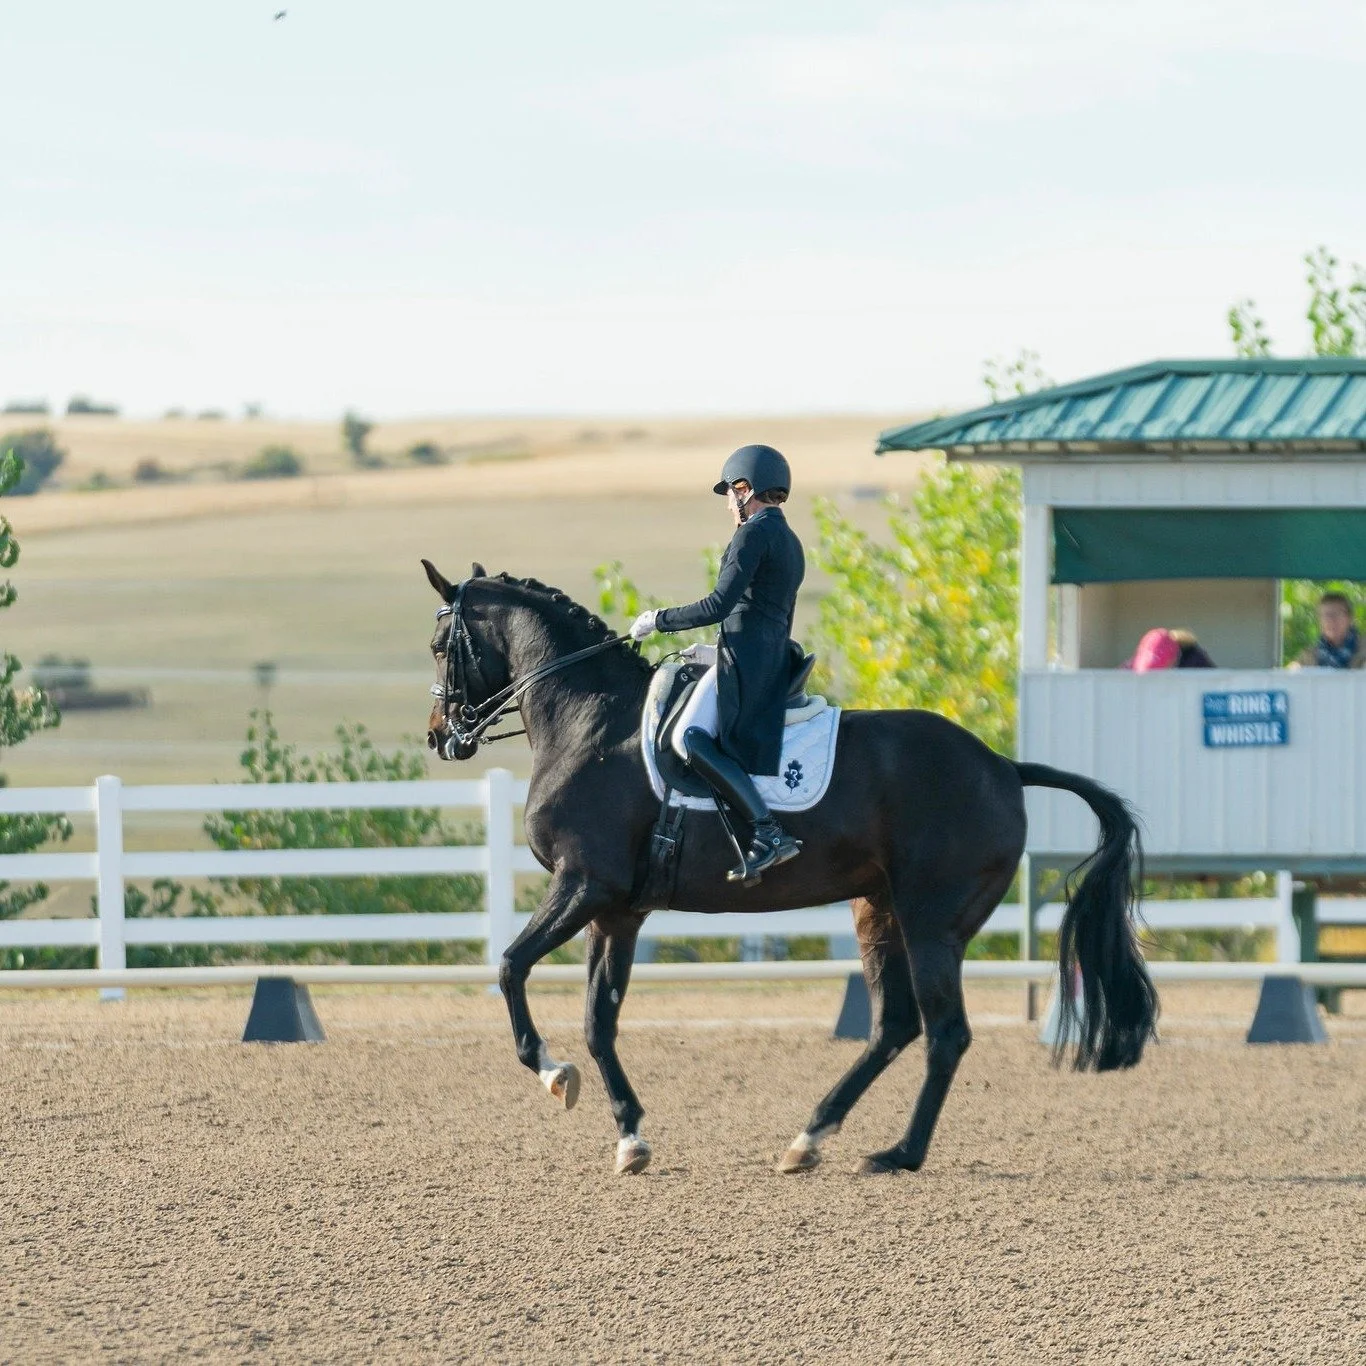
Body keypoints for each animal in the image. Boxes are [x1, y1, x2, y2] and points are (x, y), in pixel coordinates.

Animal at [421, 560, 1158, 1177]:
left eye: (439, 646)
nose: (439, 736)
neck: (592, 722)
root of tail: (1003, 766)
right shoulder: (618, 911)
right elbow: (599, 1022)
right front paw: (630, 1137)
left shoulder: (582, 885)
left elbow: (511, 967)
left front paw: (553, 1075)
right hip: (878, 911)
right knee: (894, 1026)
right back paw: (810, 1138)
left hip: (931, 923)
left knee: (945, 1034)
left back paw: (899, 1154)